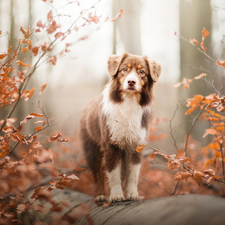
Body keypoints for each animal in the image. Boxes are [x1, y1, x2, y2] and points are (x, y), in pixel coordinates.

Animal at [78, 52, 161, 202]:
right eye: (124, 69)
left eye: (142, 72)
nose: (131, 82)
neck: (128, 102)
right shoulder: (111, 144)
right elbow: (114, 174)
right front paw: (116, 195)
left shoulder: (136, 144)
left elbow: (133, 175)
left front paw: (133, 194)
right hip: (91, 148)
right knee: (97, 173)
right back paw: (100, 195)